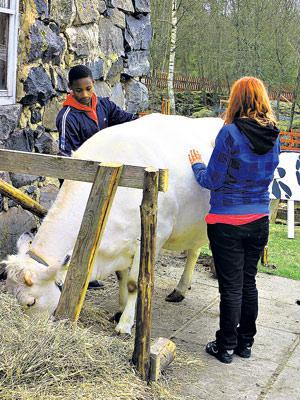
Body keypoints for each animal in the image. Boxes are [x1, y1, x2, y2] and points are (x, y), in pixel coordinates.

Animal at [3, 113, 224, 334]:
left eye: (30, 302)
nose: (32, 330)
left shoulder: (154, 236)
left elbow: (135, 283)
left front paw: (125, 324)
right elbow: (121, 278)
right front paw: (120, 310)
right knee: (194, 251)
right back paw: (180, 289)